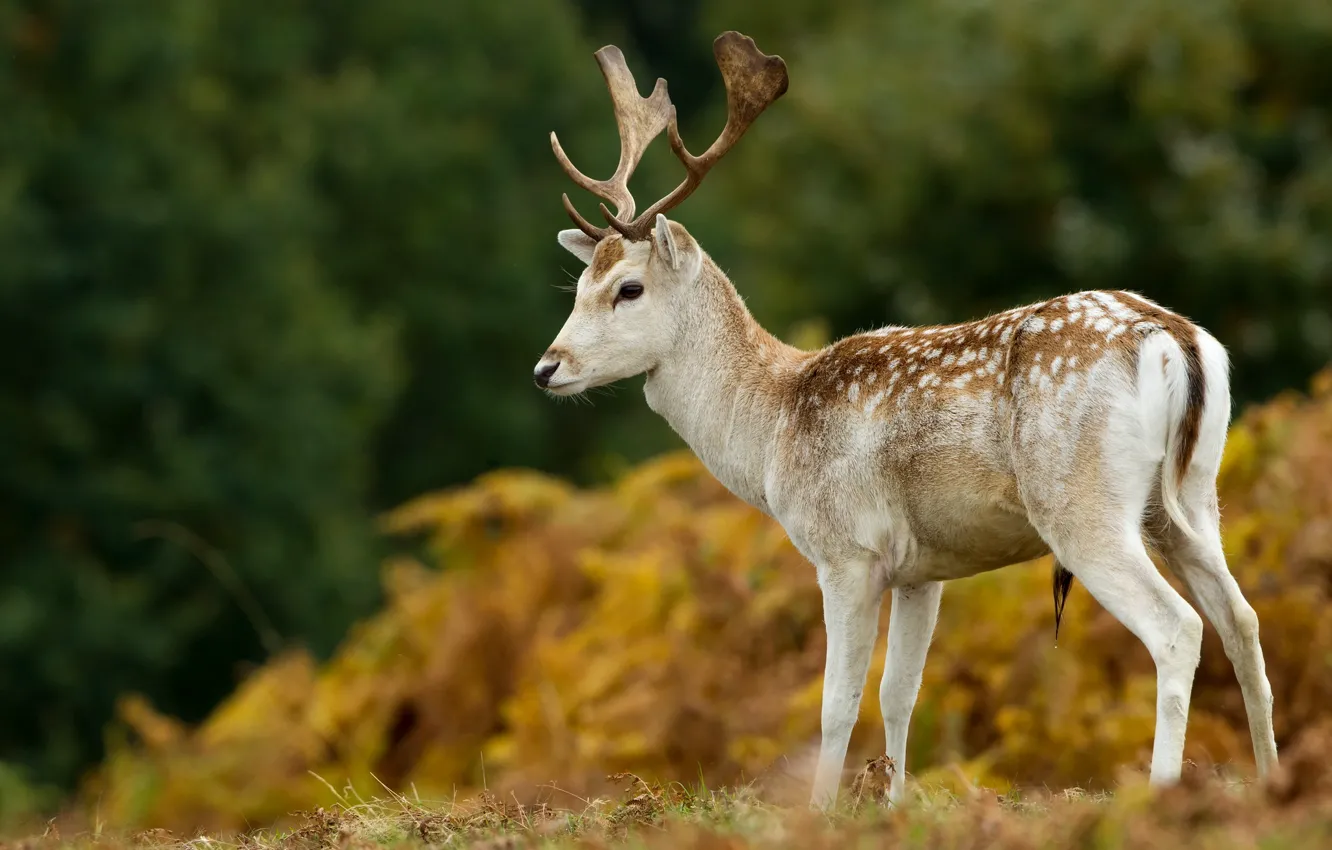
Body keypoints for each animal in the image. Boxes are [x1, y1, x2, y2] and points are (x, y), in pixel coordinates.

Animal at [533, 30, 1279, 809]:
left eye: (628, 289)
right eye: (577, 284)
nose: (547, 368)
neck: (773, 430)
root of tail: (1174, 340)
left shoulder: (847, 551)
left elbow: (836, 702)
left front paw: (822, 811)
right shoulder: (925, 567)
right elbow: (901, 692)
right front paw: (891, 803)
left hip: (1081, 503)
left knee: (1177, 628)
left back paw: (1162, 792)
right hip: (1192, 496)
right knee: (1243, 620)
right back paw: (1272, 780)